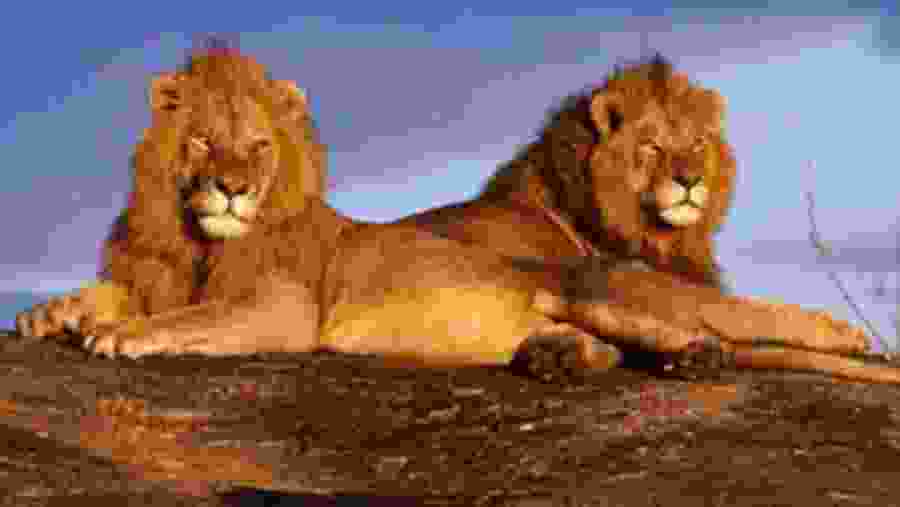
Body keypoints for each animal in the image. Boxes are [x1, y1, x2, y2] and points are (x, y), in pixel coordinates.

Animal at [15, 50, 900, 384]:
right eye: (201, 140)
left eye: (258, 147)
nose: (230, 189)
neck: (196, 238)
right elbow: (111, 293)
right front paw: (51, 314)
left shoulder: (283, 306)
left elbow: (193, 316)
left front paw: (121, 333)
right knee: (621, 345)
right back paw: (568, 356)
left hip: (601, 286)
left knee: (716, 323)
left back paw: (724, 351)